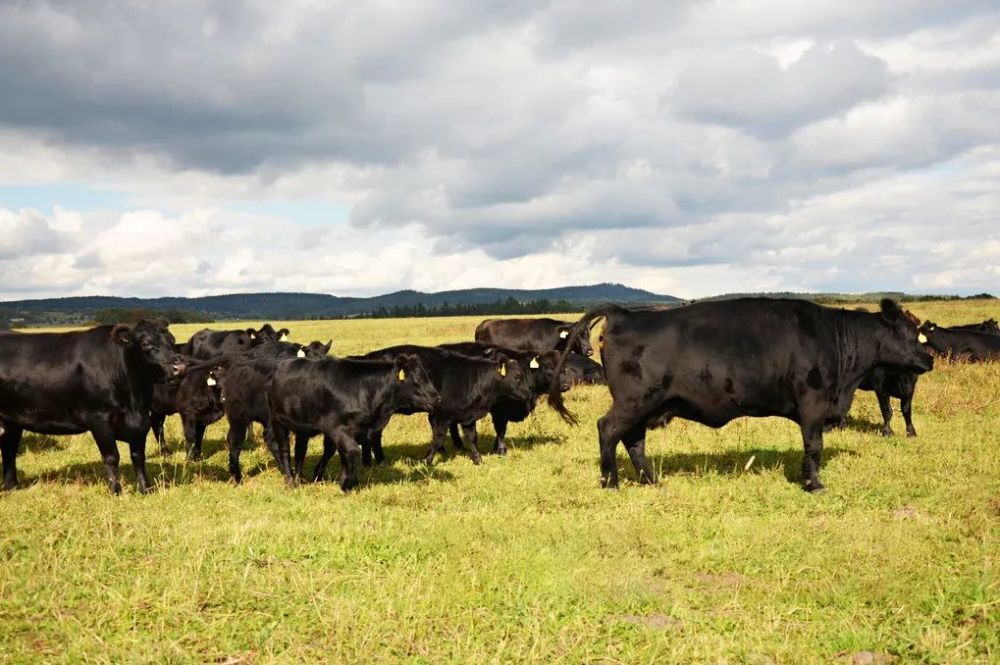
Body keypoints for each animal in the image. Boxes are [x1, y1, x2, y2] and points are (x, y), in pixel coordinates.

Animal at [0, 320, 187, 496]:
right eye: (146, 344)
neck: (134, 403)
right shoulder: (99, 418)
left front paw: (145, 488)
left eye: (172, 341)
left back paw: (12, 486)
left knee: (9, 449)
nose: (180, 368)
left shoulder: (141, 422)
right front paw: (116, 491)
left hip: (12, 422)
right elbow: (111, 456)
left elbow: (138, 455)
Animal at [268, 356, 440, 490]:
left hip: (302, 427)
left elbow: (338, 453)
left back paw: (299, 478)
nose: (438, 398)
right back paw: (290, 481)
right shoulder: (336, 428)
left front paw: (324, 477)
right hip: (277, 422)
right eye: (419, 379)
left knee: (300, 451)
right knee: (284, 449)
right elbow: (352, 451)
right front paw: (346, 484)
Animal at [358, 344, 536, 464]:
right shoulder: (439, 415)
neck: (472, 377)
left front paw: (477, 459)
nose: (529, 393)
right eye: (517, 378)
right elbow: (438, 438)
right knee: (374, 435)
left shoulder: (468, 415)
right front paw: (427, 460)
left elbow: (472, 437)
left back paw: (369, 462)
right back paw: (381, 461)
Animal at [440, 342, 572, 456]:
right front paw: (501, 450)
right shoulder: (499, 411)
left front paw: (495, 448)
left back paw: (459, 447)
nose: (566, 385)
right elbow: (501, 429)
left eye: (564, 368)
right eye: (549, 368)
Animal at [548, 298, 928, 490]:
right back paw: (610, 482)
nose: (929, 359)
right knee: (609, 429)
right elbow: (814, 445)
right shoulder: (813, 402)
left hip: (645, 404)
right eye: (911, 334)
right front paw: (814, 484)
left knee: (633, 439)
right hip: (634, 400)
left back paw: (651, 481)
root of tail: (624, 313)